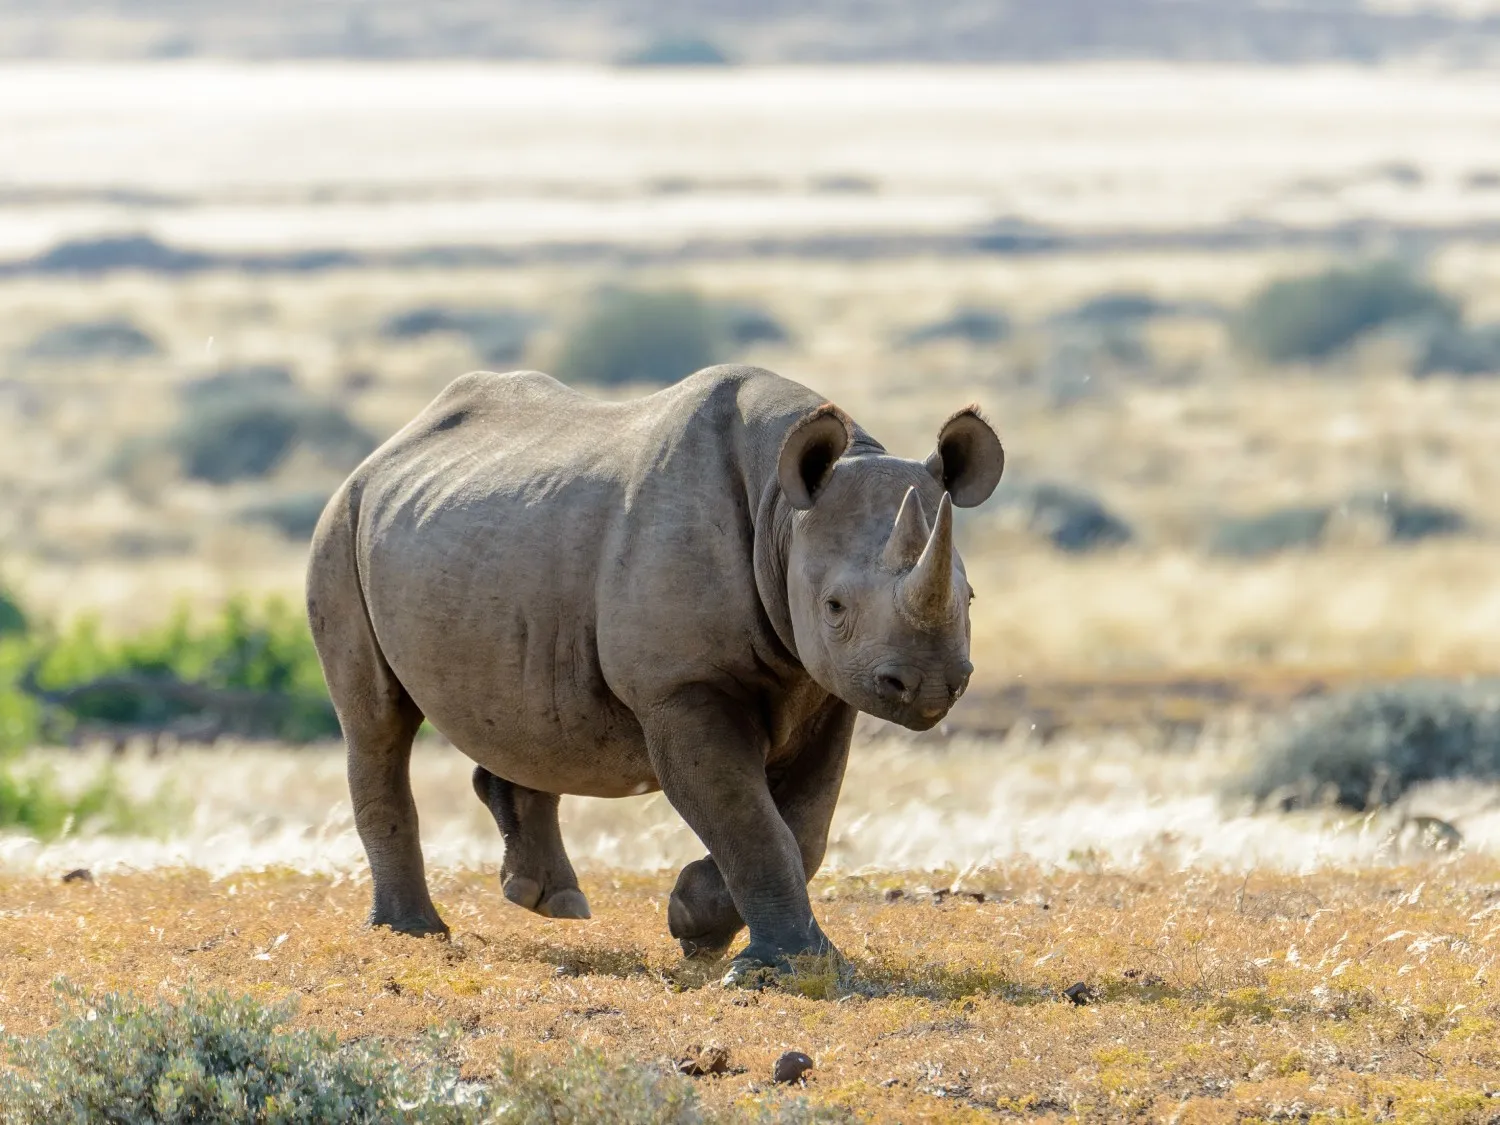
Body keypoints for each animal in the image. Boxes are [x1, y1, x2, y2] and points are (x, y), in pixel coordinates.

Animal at [306, 364, 1003, 981]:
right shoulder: (681, 685)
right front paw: (778, 967)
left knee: (519, 712)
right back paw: (411, 933)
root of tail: (384, 451)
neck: (782, 515)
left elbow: (806, 826)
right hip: (340, 526)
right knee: (377, 724)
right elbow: (750, 820)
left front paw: (696, 923)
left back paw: (549, 902)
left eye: (970, 599)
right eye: (834, 608)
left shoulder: (827, 688)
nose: (928, 685)